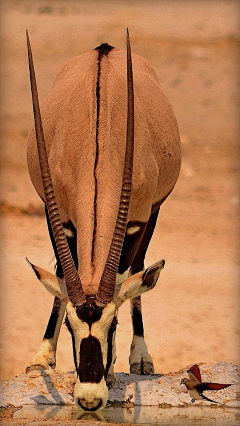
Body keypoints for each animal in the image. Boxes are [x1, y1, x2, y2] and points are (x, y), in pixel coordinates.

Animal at [25, 29, 180, 410]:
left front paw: (114, 372)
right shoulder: (60, 217)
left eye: (112, 326)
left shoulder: (139, 221)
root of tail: (105, 50)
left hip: (154, 213)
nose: (90, 399)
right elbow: (63, 276)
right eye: (71, 328)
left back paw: (141, 357)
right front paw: (43, 357)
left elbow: (129, 279)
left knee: (140, 270)